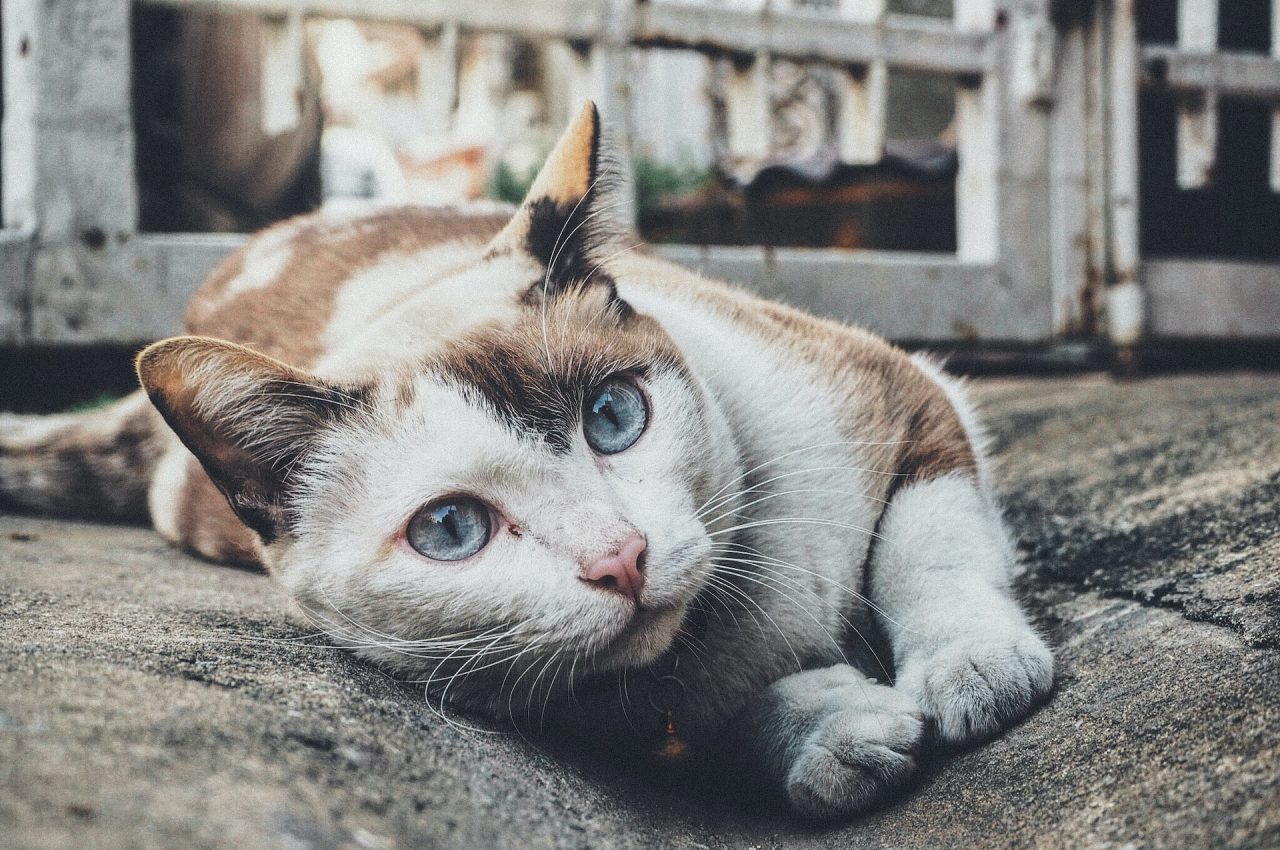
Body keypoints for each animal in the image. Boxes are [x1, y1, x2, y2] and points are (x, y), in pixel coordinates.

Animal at [0, 103, 1049, 819]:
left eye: (614, 417)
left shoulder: (899, 389)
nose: (621, 560)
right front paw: (831, 733)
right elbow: (719, 725)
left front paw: (972, 667)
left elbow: (928, 547)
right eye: (450, 528)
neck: (729, 624)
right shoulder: (574, 710)